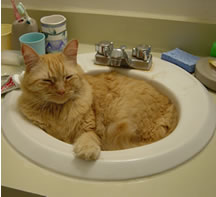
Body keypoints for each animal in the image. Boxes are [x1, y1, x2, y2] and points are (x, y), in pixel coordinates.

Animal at [18, 39, 177, 160]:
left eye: (68, 77)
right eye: (47, 81)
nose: (61, 91)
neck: (58, 111)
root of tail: (172, 108)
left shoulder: (89, 126)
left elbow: (88, 138)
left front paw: (87, 150)